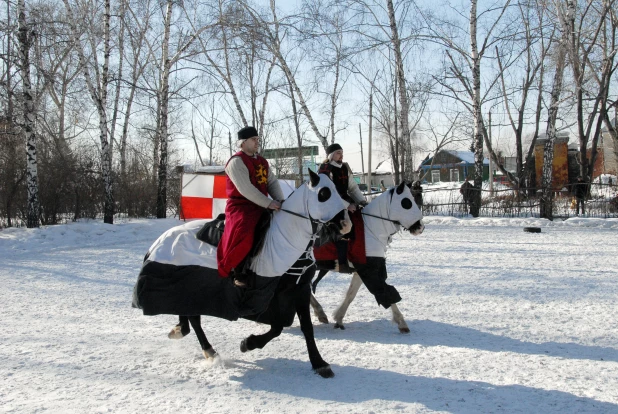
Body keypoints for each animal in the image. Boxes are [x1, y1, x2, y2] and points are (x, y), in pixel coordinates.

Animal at [131, 169, 346, 378]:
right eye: (324, 194)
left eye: (336, 189)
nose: (346, 224)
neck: (286, 239)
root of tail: (159, 242)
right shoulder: (271, 295)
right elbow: (278, 327)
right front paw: (248, 343)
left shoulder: (299, 289)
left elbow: (304, 328)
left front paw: (319, 364)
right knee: (194, 318)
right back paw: (209, 350)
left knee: (188, 313)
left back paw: (186, 334)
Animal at [308, 181, 424, 334]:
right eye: (407, 203)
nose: (420, 227)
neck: (371, 228)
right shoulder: (370, 272)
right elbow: (384, 291)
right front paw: (402, 322)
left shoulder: (361, 271)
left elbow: (351, 295)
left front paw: (339, 319)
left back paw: (320, 313)